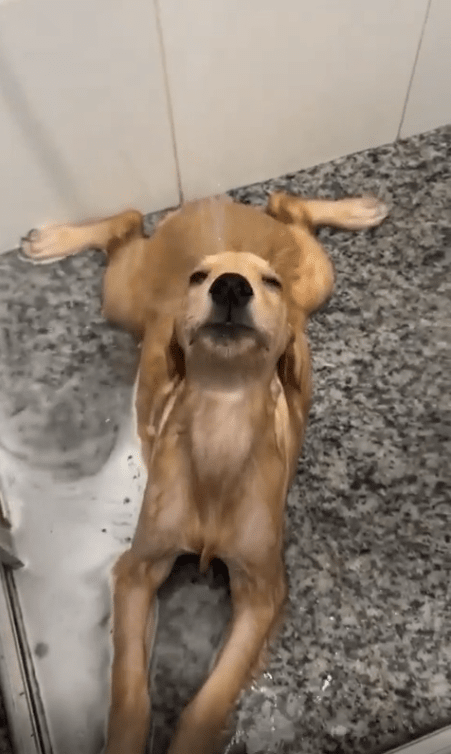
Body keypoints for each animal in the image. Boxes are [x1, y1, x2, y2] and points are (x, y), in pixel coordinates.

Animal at [22, 191, 387, 754]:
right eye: (199, 277)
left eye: (269, 283)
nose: (231, 284)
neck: (222, 424)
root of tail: (214, 205)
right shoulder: (137, 571)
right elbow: (129, 693)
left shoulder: (261, 592)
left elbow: (207, 703)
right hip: (125, 298)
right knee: (128, 223)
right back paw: (52, 240)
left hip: (313, 280)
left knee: (289, 206)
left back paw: (355, 210)